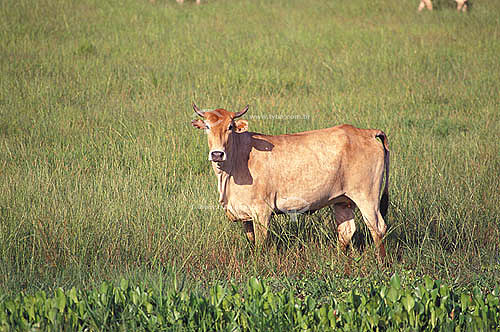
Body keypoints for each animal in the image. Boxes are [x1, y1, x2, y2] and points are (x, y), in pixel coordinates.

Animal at [191, 104, 390, 262]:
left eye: (230, 127)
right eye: (207, 126)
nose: (217, 154)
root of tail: (367, 132)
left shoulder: (262, 211)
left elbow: (260, 244)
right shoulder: (245, 215)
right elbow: (251, 240)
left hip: (367, 196)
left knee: (378, 228)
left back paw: (381, 264)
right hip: (343, 200)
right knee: (347, 230)